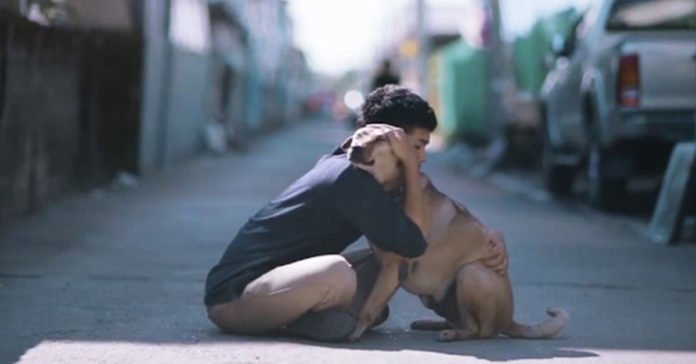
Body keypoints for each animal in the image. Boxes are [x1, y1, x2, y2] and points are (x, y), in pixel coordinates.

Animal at [346, 124, 568, 342]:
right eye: (358, 135)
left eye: (381, 139)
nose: (354, 148)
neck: (393, 190)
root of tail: (508, 321)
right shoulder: (384, 266)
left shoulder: (392, 268)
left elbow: (369, 307)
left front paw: (355, 332)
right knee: (459, 320)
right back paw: (432, 324)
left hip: (469, 274)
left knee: (477, 330)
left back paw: (453, 334)